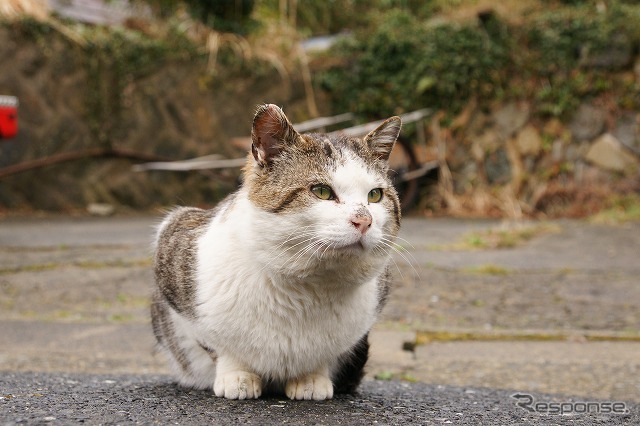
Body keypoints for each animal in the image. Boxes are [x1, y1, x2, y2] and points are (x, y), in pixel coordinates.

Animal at [151, 104, 400, 400]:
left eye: (375, 195)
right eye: (322, 191)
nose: (364, 220)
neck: (308, 288)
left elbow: (327, 355)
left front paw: (311, 377)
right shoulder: (173, 236)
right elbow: (216, 344)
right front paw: (237, 375)